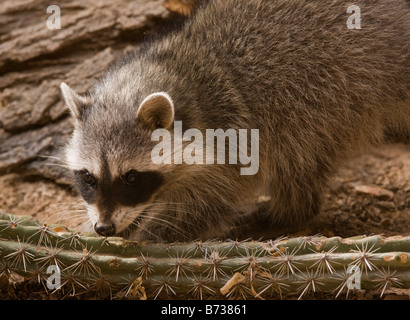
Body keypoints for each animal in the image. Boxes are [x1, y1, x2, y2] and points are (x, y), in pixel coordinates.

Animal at [60, 0, 410, 240]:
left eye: (131, 177)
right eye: (88, 178)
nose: (104, 228)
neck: (177, 73)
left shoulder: (233, 133)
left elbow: (210, 201)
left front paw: (153, 234)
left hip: (321, 96)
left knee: (298, 159)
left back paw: (285, 215)